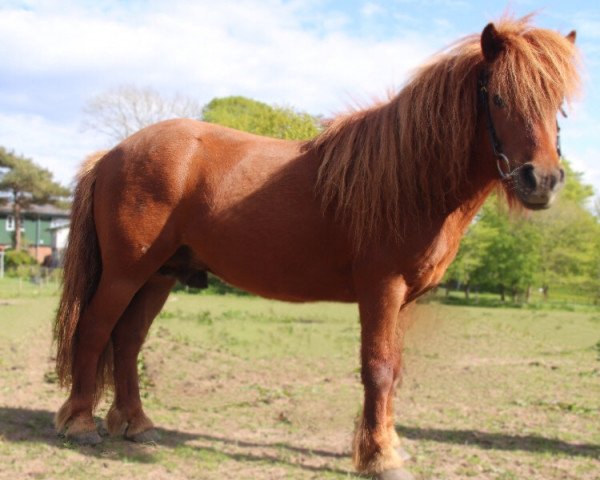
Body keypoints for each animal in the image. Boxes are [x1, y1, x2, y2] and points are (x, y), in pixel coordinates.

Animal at [54, 16, 580, 478]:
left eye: (558, 104)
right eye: (498, 97)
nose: (542, 180)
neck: (412, 179)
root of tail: (113, 154)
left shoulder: (404, 300)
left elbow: (395, 371)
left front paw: (387, 446)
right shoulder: (381, 289)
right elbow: (378, 369)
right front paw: (380, 459)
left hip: (159, 276)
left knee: (127, 341)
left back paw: (136, 424)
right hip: (125, 273)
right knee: (96, 330)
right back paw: (80, 424)